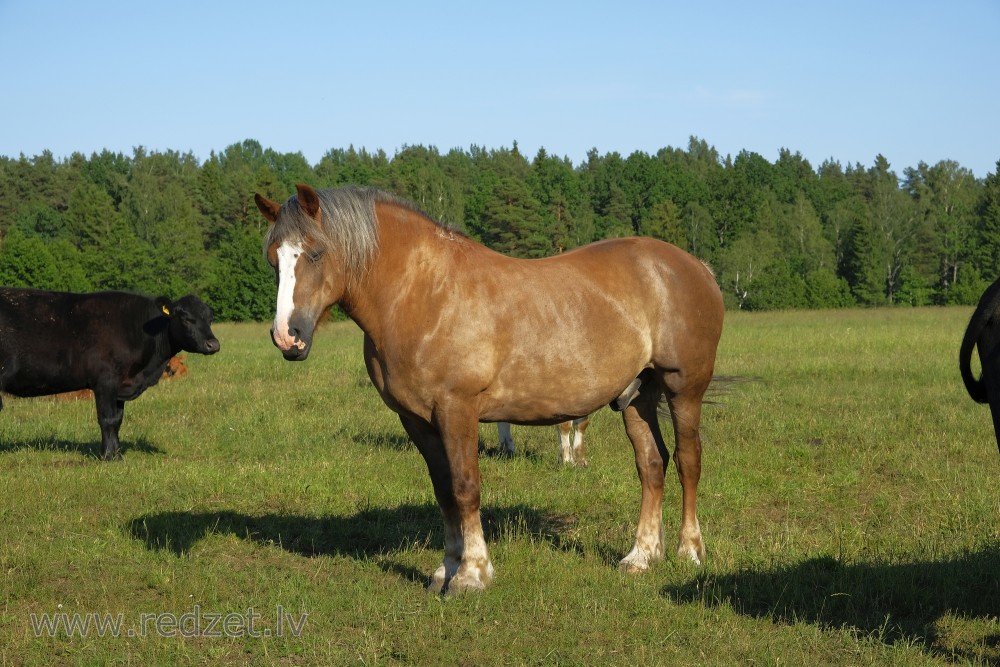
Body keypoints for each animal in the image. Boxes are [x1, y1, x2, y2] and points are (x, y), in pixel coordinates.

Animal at [0, 290, 221, 462]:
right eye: (185, 317)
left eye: (210, 318)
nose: (213, 344)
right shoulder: (105, 383)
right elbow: (107, 419)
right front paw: (107, 457)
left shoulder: (120, 386)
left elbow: (117, 420)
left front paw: (117, 455)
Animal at [256, 184, 728, 596]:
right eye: (273, 260)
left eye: (316, 253)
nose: (286, 337)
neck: (424, 294)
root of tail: (695, 267)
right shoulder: (417, 420)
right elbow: (444, 491)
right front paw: (445, 569)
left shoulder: (456, 409)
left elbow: (466, 487)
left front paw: (472, 574)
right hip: (636, 394)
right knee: (651, 464)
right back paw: (641, 556)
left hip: (683, 389)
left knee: (687, 461)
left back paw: (689, 550)